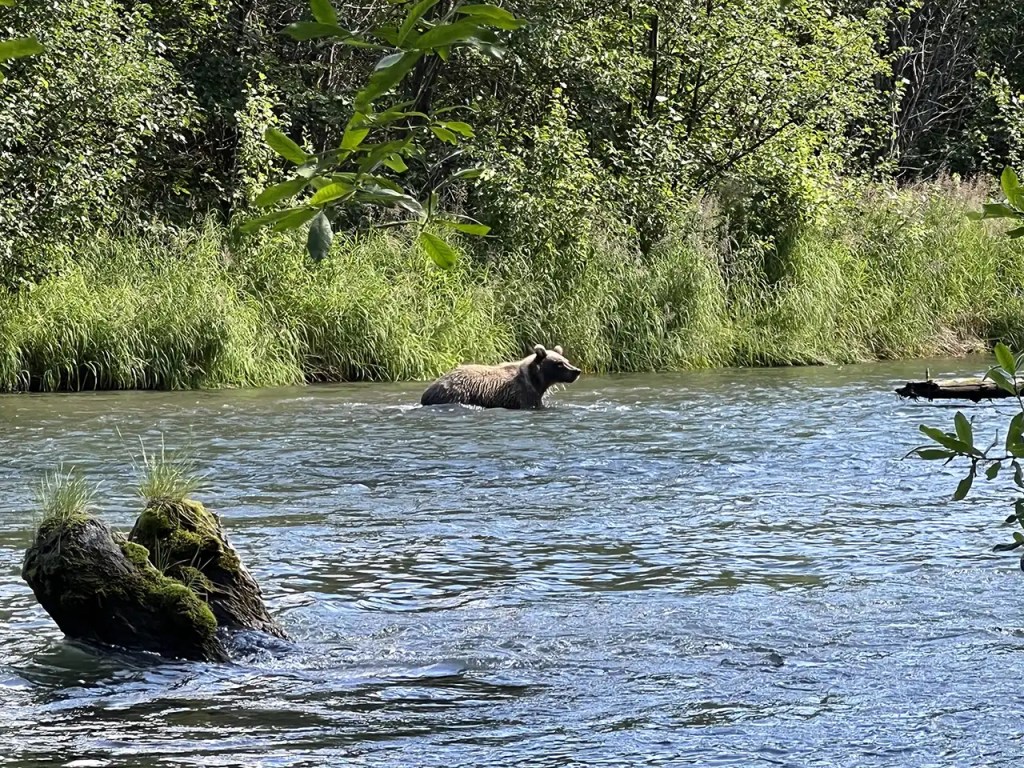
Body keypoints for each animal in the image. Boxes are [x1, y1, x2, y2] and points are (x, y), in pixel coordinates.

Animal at [420, 344, 581, 409]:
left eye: (567, 361)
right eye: (559, 363)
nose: (577, 371)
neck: (536, 380)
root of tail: (427, 391)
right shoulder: (523, 394)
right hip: (455, 394)